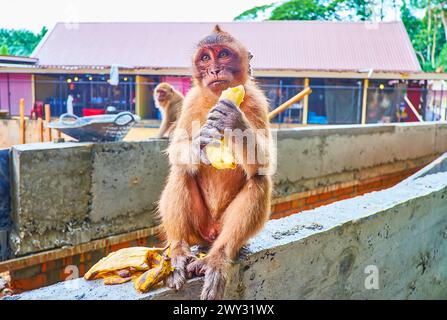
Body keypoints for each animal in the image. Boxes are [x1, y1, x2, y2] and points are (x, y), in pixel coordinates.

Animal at [159, 25, 274, 300]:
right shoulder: (190, 100)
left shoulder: (256, 101)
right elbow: (178, 150)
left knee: (259, 180)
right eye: (205, 58)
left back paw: (217, 259)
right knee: (181, 172)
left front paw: (233, 121)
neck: (215, 98)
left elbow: (264, 163)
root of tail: (210, 233)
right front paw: (198, 144)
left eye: (223, 54)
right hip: (198, 228)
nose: (214, 70)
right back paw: (178, 252)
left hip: (220, 230)